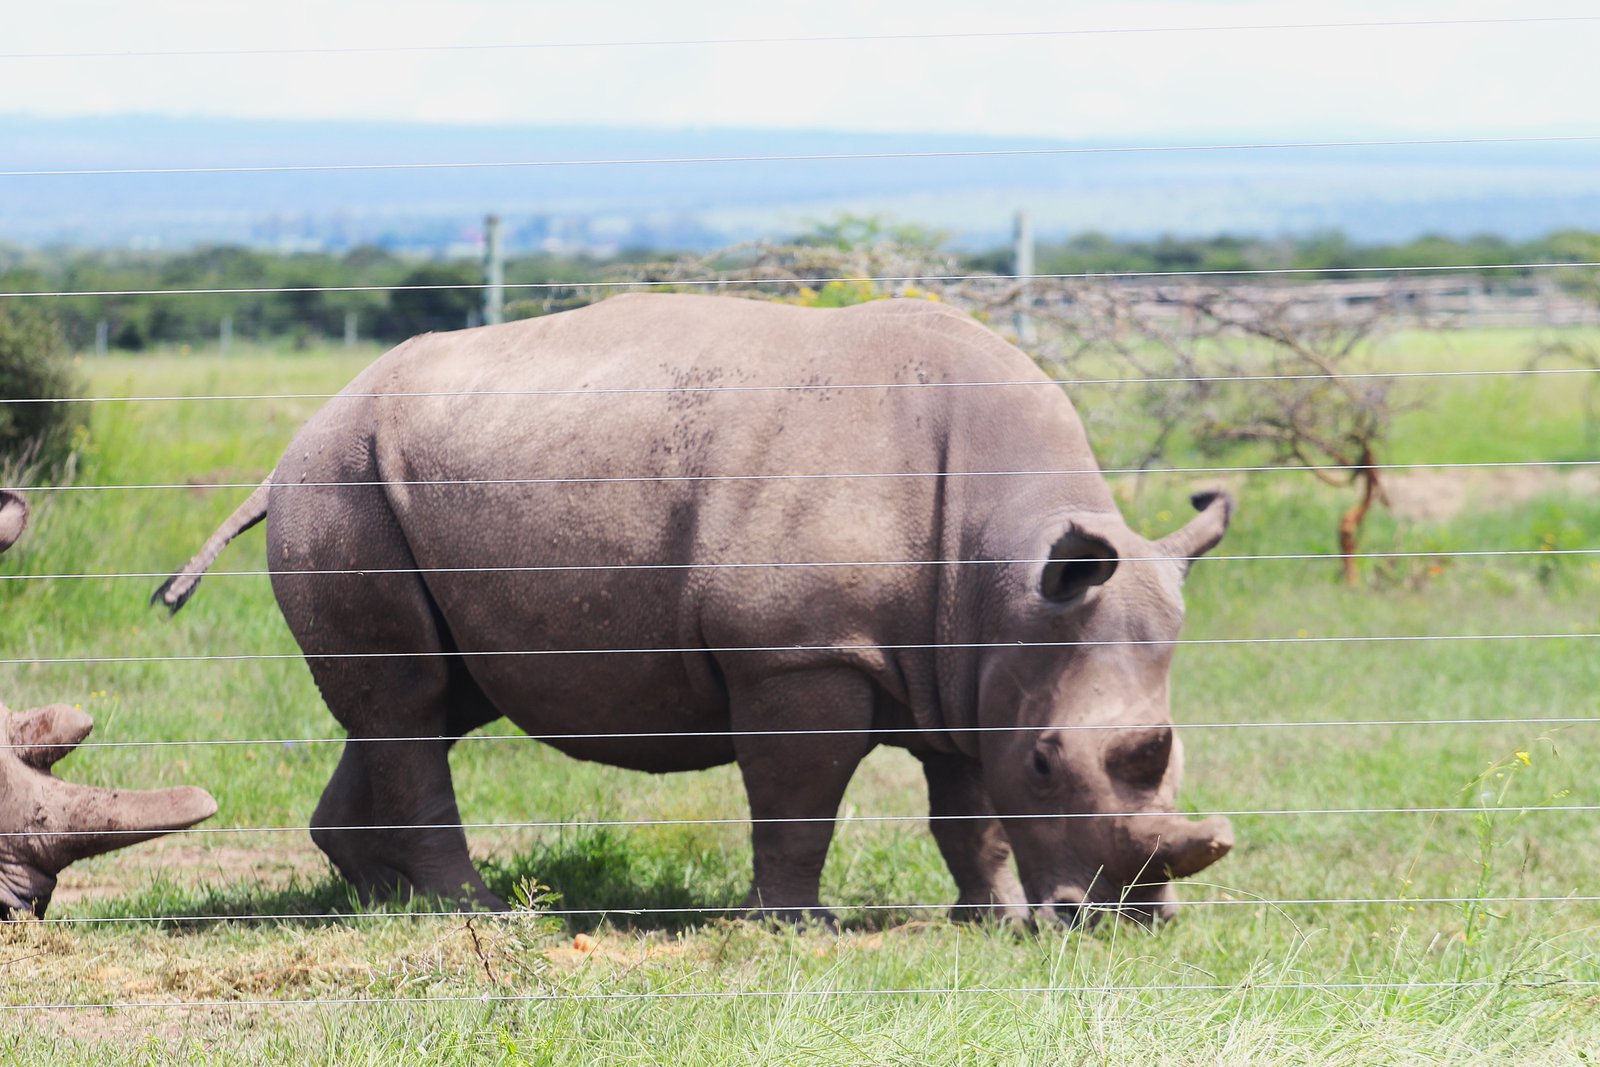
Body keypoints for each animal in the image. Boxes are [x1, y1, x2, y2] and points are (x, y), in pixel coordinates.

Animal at [158, 294, 1233, 924]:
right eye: (1052, 760)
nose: (1127, 921)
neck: (1004, 562)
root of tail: (299, 438)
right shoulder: (800, 652)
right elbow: (799, 801)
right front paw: (795, 929)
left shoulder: (970, 657)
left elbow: (969, 808)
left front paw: (996, 919)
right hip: (341, 484)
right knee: (413, 702)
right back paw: (476, 911)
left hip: (383, 478)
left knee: (425, 703)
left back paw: (388, 902)